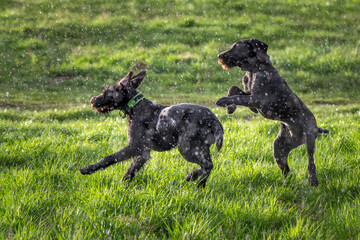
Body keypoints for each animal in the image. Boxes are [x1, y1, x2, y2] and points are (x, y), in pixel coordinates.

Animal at [80, 71, 224, 188]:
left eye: (106, 92)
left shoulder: (135, 147)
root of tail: (212, 119)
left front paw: (88, 169)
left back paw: (193, 177)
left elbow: (109, 158)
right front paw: (121, 187)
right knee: (209, 165)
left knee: (207, 165)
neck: (135, 106)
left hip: (186, 148)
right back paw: (200, 184)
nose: (92, 100)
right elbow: (130, 172)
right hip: (203, 148)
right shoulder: (143, 153)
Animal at [217, 39, 330, 187]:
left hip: (309, 140)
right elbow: (234, 89)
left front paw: (225, 102)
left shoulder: (257, 99)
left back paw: (313, 181)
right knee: (286, 170)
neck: (254, 68)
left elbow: (237, 96)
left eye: (236, 46)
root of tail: (317, 127)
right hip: (279, 148)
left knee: (311, 163)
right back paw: (287, 183)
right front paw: (230, 108)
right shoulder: (251, 96)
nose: (219, 55)